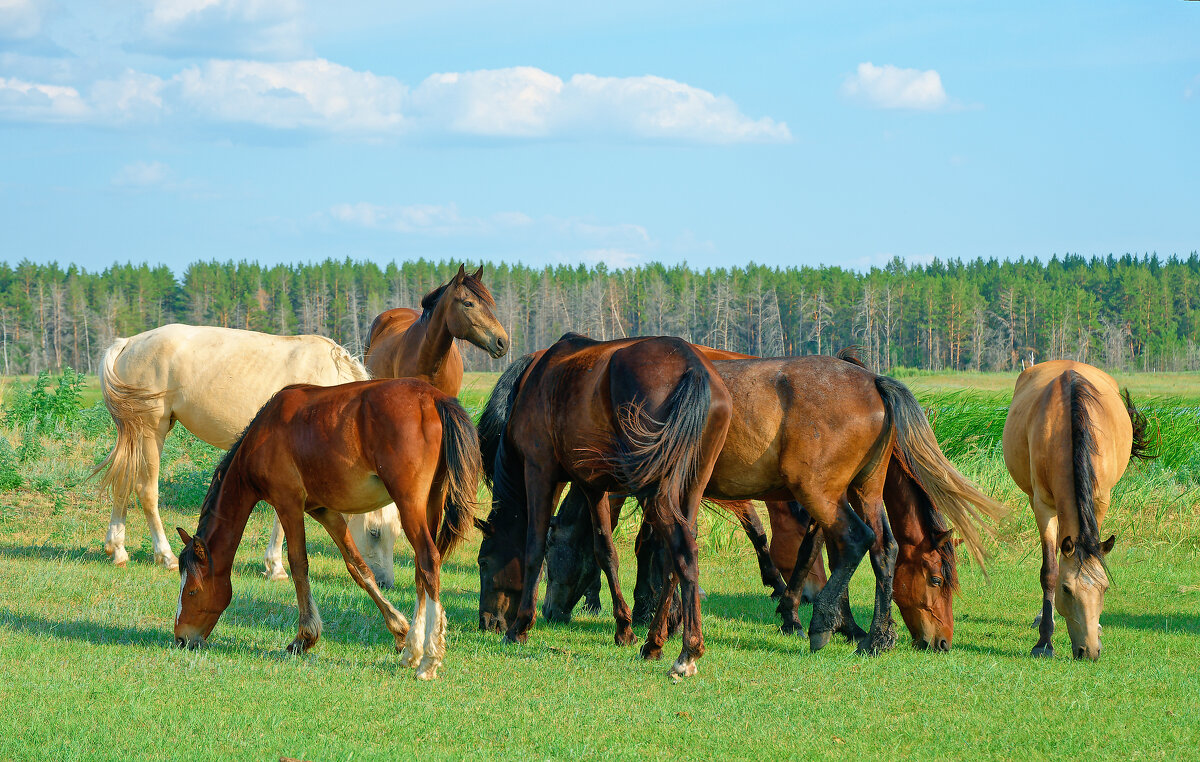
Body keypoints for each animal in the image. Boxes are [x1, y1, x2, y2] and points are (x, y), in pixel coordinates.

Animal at [94, 324, 369, 571]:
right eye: (374, 533)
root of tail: (128, 343)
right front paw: (275, 565)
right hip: (151, 430)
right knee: (145, 489)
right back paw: (166, 556)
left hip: (135, 435)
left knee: (123, 483)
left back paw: (117, 550)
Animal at [174, 379, 482, 681]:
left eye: (192, 591)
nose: (181, 639)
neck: (264, 434)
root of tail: (433, 398)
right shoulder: (323, 511)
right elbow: (358, 568)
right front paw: (399, 630)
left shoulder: (288, 504)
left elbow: (299, 565)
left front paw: (304, 637)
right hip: (431, 503)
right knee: (422, 569)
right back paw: (413, 651)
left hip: (409, 505)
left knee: (428, 561)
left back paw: (428, 660)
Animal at [475, 336, 729, 681]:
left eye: (483, 563)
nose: (487, 623)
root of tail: (692, 367)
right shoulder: (592, 486)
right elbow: (605, 552)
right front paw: (624, 629)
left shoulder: (540, 472)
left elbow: (534, 549)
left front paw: (520, 627)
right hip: (689, 488)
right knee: (674, 560)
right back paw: (654, 643)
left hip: (654, 490)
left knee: (682, 551)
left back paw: (687, 652)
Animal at [998, 360, 1156, 657]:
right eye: (1067, 590)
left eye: (1105, 589)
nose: (1089, 651)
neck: (1068, 426)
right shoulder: (1043, 505)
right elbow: (1049, 570)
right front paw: (1044, 641)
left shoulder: (1100, 499)